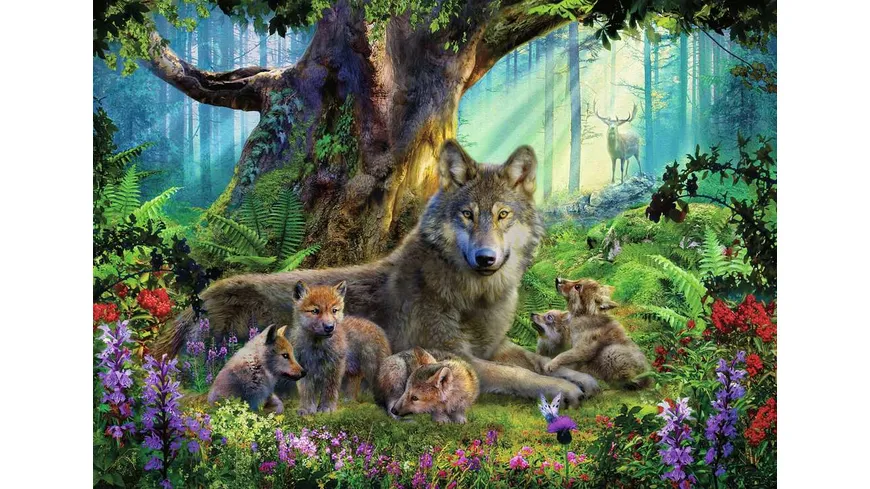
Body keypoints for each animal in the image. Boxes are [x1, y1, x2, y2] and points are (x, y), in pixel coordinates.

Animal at [158, 140, 597, 406]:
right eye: (468, 215)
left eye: (503, 215)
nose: (486, 258)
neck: (476, 296)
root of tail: (193, 306)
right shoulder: (448, 354)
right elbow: (518, 374)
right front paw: (563, 387)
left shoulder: (494, 345)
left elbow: (534, 360)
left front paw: (578, 375)